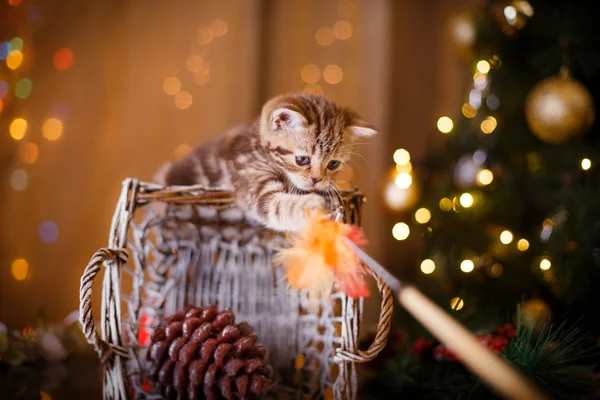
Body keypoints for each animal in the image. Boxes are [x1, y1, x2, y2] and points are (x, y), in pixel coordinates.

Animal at [157, 91, 378, 231]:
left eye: (333, 164)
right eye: (301, 159)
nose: (316, 180)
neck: (258, 147)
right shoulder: (253, 182)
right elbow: (278, 206)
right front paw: (312, 205)